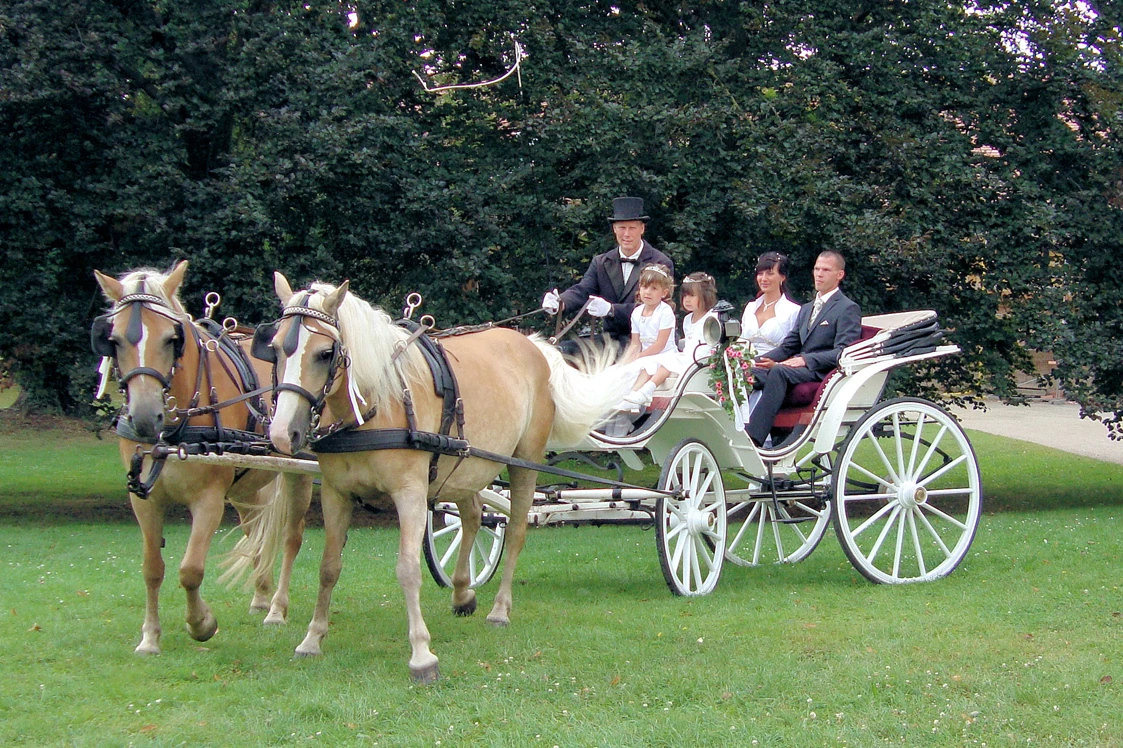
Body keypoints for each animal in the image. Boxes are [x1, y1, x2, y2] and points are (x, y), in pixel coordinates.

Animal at [89, 261, 312, 651]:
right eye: (113, 340)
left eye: (171, 338)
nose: (145, 418)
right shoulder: (144, 500)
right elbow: (152, 567)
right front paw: (150, 637)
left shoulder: (209, 499)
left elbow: (190, 569)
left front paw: (201, 623)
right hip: (247, 484)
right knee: (255, 532)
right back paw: (260, 596)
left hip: (300, 472)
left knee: (290, 537)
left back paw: (276, 608)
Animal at [250, 275, 628, 682]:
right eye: (275, 349)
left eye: (324, 353)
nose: (283, 434)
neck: (376, 405)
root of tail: (534, 346)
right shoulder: (337, 494)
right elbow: (328, 568)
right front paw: (312, 638)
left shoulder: (410, 494)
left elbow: (408, 569)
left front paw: (421, 653)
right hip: (466, 466)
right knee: (474, 516)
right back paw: (462, 592)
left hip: (523, 462)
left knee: (515, 532)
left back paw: (499, 609)